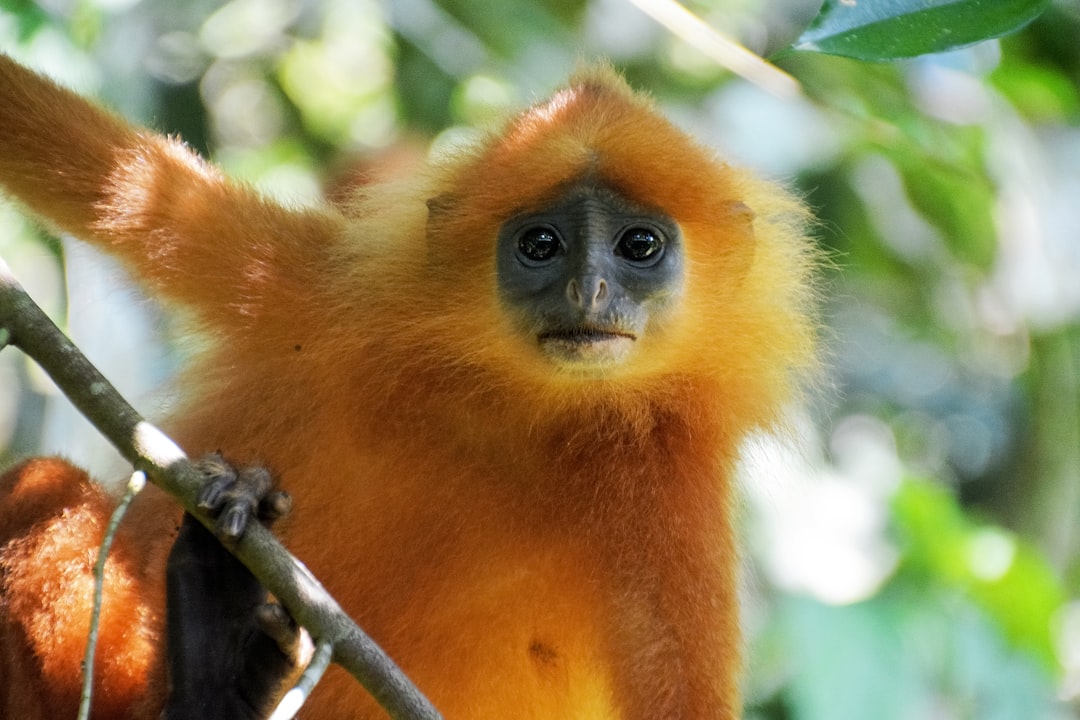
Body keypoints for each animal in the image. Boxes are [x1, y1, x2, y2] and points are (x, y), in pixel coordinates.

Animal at [0, 52, 812, 720]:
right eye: (540, 244)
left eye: (639, 245)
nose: (589, 290)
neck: (517, 403)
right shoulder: (326, 296)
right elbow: (99, 168)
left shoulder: (671, 488)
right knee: (40, 483)